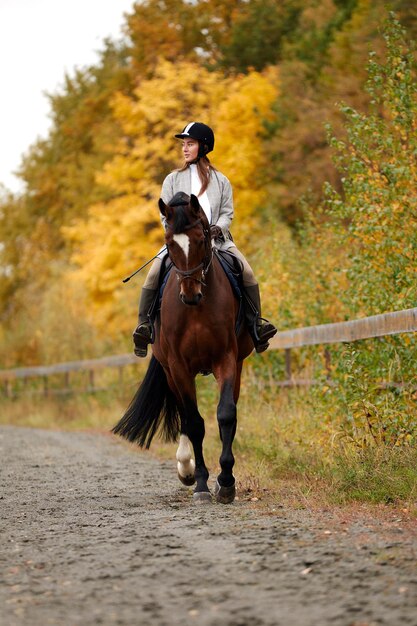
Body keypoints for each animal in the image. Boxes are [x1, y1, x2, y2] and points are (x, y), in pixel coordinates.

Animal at [112, 193, 252, 500]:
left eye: (201, 238)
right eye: (169, 242)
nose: (190, 294)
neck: (196, 310)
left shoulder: (226, 359)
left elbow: (225, 415)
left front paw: (225, 482)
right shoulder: (179, 367)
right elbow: (194, 422)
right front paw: (199, 482)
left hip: (235, 365)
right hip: (170, 372)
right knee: (185, 415)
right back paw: (185, 467)